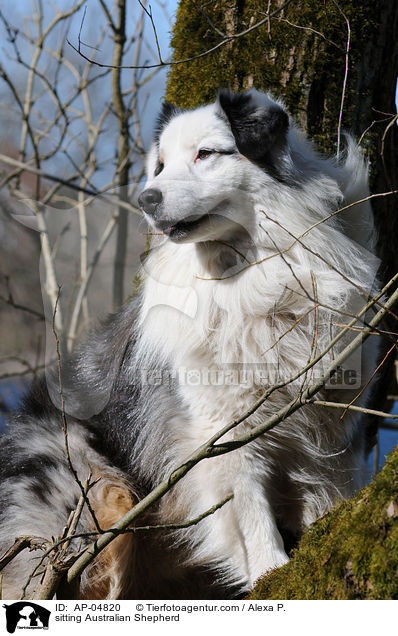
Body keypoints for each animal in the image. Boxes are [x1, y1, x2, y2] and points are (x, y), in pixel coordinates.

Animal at [0, 89, 380, 600]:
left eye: (206, 153)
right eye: (160, 165)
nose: (146, 198)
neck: (253, 271)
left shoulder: (335, 425)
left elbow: (329, 495)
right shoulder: (223, 430)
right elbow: (251, 516)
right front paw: (271, 575)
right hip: (94, 497)